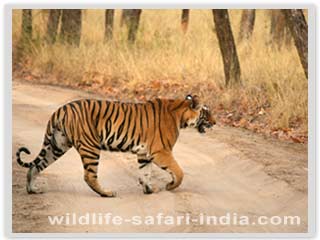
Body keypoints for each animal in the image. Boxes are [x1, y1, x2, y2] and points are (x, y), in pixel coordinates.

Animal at [15, 94, 215, 197]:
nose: (215, 122)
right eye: (207, 113)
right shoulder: (161, 152)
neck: (180, 115)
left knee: (35, 166)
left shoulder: (145, 154)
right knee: (89, 176)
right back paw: (106, 193)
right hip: (90, 147)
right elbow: (179, 172)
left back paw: (32, 190)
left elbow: (145, 172)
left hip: (57, 146)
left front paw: (149, 189)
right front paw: (169, 186)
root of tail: (61, 109)